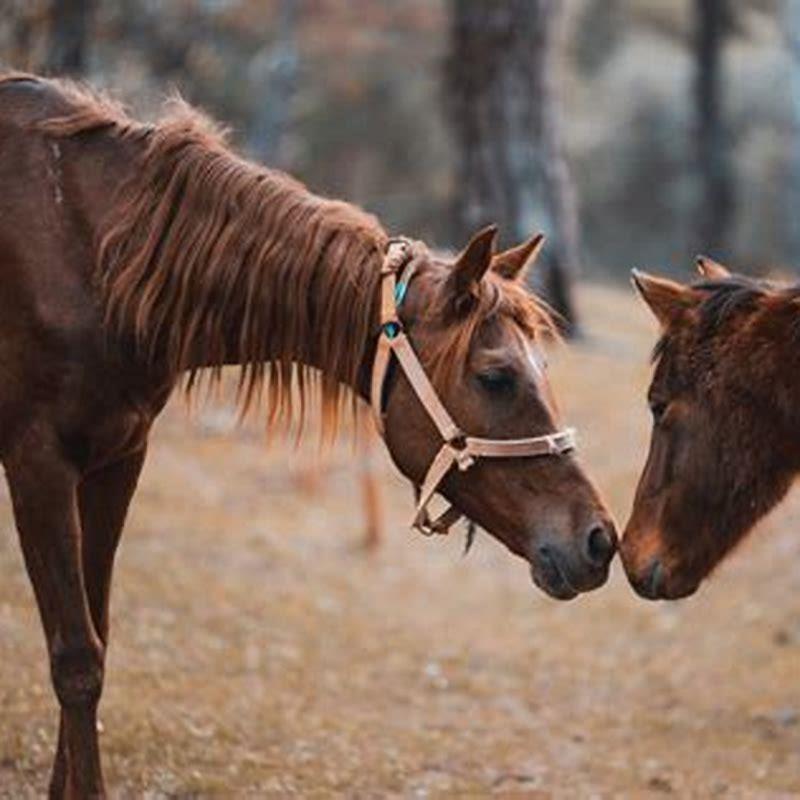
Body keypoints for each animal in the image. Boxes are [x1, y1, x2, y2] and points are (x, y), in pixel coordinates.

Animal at [0, 73, 616, 797]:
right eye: (496, 377)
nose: (599, 540)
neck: (91, 252)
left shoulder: (117, 459)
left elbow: (94, 633)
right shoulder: (39, 465)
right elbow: (75, 659)